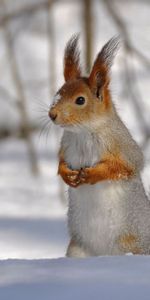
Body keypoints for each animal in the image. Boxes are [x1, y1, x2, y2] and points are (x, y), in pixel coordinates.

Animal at [48, 34, 149, 256]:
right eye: (58, 93)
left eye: (80, 100)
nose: (52, 114)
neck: (84, 132)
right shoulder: (66, 145)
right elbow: (60, 162)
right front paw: (67, 174)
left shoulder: (122, 146)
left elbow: (125, 166)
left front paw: (93, 174)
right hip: (77, 249)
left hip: (131, 244)